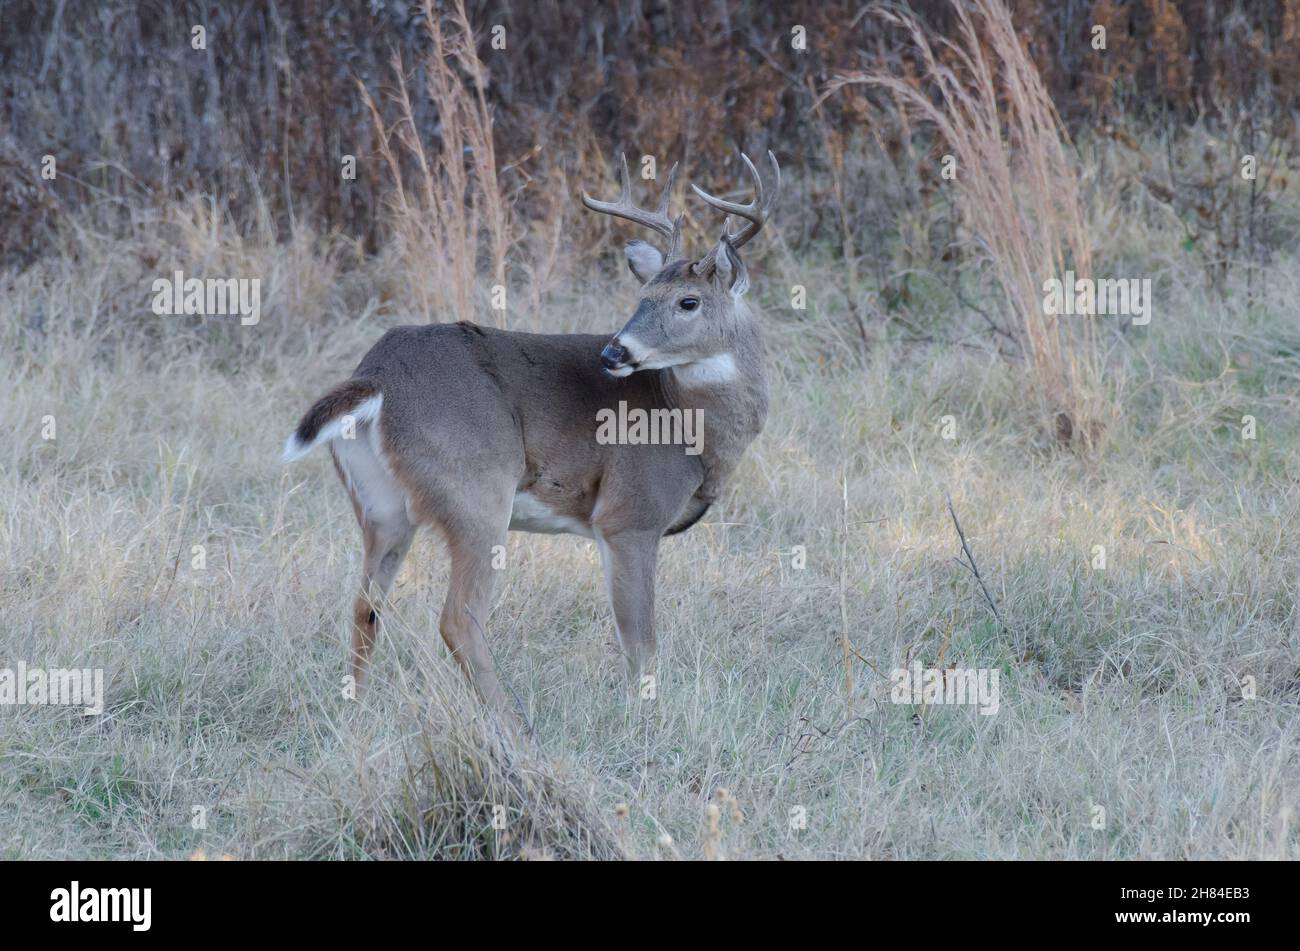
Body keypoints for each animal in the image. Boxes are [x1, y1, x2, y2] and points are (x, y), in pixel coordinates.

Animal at [281, 151, 780, 717]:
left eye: (688, 301)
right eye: (644, 295)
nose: (614, 352)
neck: (687, 423)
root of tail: (376, 377)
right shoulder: (630, 515)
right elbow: (641, 643)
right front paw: (646, 716)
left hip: (380, 508)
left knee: (365, 606)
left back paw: (358, 711)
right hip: (477, 490)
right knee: (457, 618)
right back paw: (511, 722)